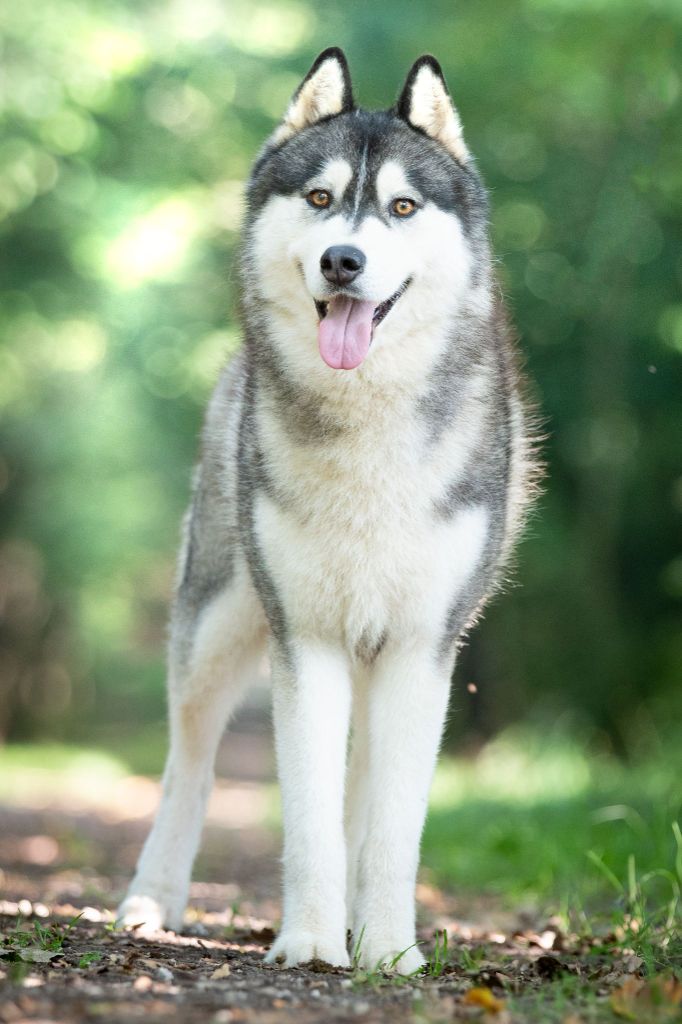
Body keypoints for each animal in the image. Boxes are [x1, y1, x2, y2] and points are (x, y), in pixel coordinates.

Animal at [119, 49, 540, 974]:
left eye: (403, 207)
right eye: (319, 198)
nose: (344, 260)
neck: (366, 424)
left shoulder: (421, 647)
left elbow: (392, 826)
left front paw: (387, 949)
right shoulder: (304, 639)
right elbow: (307, 813)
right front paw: (311, 941)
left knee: (361, 787)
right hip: (215, 628)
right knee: (190, 764)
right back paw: (151, 900)